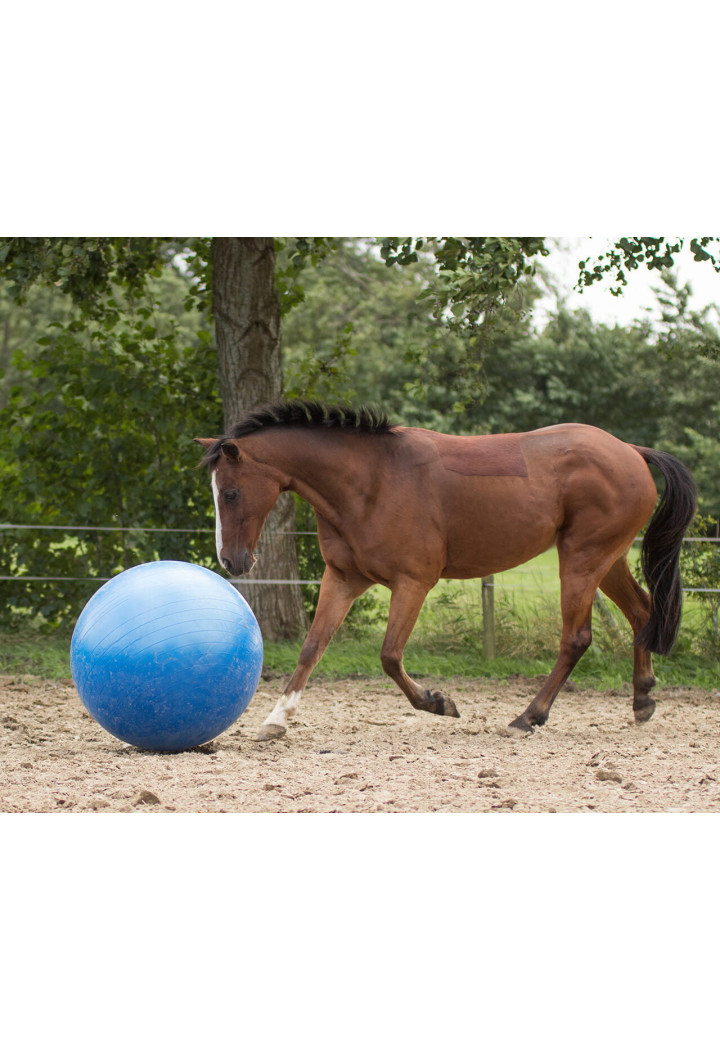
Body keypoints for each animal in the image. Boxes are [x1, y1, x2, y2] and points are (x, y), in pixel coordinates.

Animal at [196, 400, 697, 740]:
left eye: (232, 493)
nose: (232, 561)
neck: (371, 482)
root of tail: (630, 451)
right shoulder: (342, 579)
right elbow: (311, 648)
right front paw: (275, 720)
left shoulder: (413, 583)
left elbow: (389, 655)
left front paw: (439, 703)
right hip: (606, 560)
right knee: (641, 613)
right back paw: (642, 700)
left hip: (580, 560)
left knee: (576, 638)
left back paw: (527, 717)